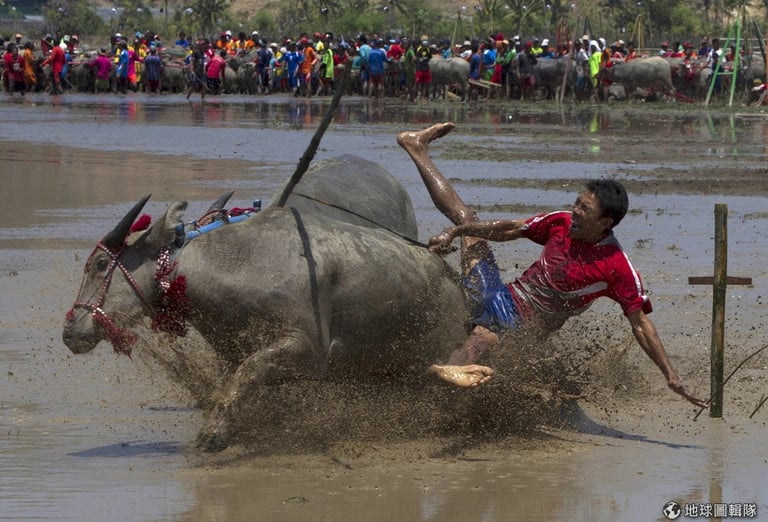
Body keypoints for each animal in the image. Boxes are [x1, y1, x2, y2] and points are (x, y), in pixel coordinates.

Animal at [61, 153, 468, 446]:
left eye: (100, 264)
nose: (70, 331)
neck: (233, 264)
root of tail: (455, 281)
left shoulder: (306, 348)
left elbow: (250, 370)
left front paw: (214, 433)